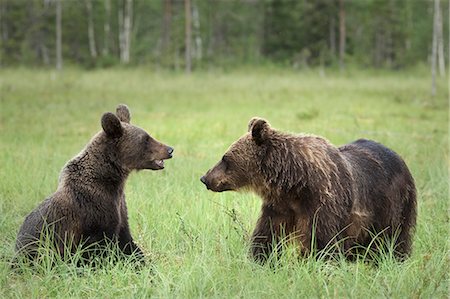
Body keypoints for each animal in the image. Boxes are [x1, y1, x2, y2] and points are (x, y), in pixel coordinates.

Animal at [15, 104, 174, 264]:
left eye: (148, 136)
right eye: (145, 139)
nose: (170, 149)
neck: (110, 181)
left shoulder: (119, 207)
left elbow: (127, 241)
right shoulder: (94, 211)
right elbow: (99, 247)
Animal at [201, 118, 418, 264]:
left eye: (225, 158)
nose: (205, 178)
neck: (294, 183)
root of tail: (400, 158)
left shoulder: (322, 202)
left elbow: (320, 241)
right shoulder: (280, 206)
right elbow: (267, 234)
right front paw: (261, 260)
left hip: (391, 203)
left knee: (394, 238)